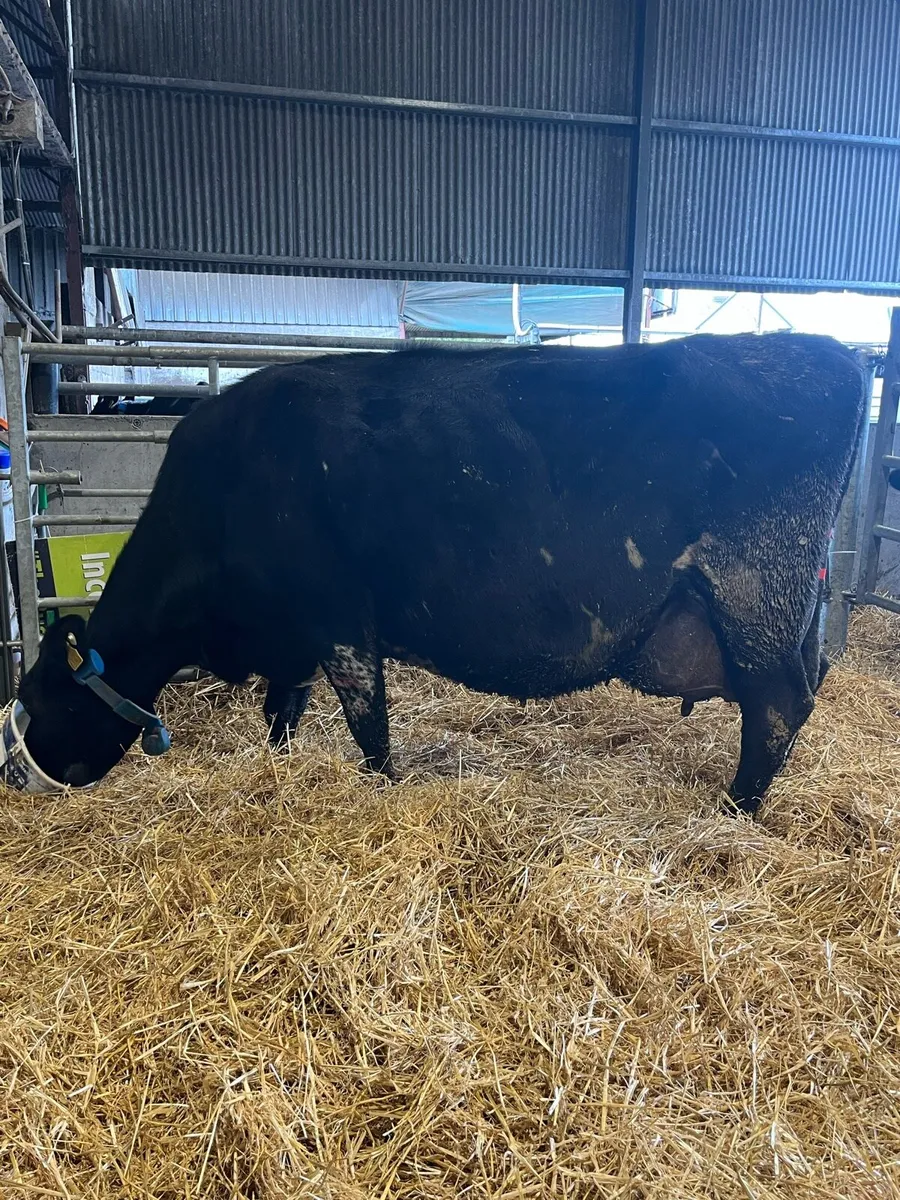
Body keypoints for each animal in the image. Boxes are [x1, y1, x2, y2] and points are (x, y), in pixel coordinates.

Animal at [1, 333, 865, 815]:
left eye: (35, 701)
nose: (15, 779)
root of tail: (829, 353)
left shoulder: (339, 615)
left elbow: (368, 723)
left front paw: (383, 790)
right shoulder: (294, 635)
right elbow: (284, 711)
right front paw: (278, 768)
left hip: (753, 588)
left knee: (778, 706)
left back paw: (735, 811)